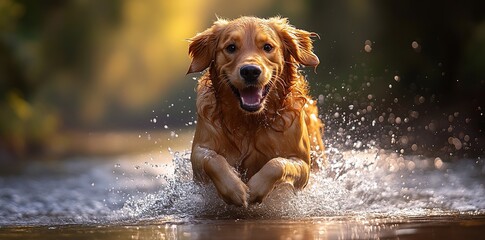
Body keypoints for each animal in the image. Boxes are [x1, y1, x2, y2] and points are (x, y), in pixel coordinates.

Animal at [187, 16, 324, 206]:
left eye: (267, 47)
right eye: (231, 47)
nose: (250, 71)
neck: (250, 121)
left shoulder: (302, 163)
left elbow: (278, 164)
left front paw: (256, 188)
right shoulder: (199, 154)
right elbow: (213, 159)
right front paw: (235, 189)